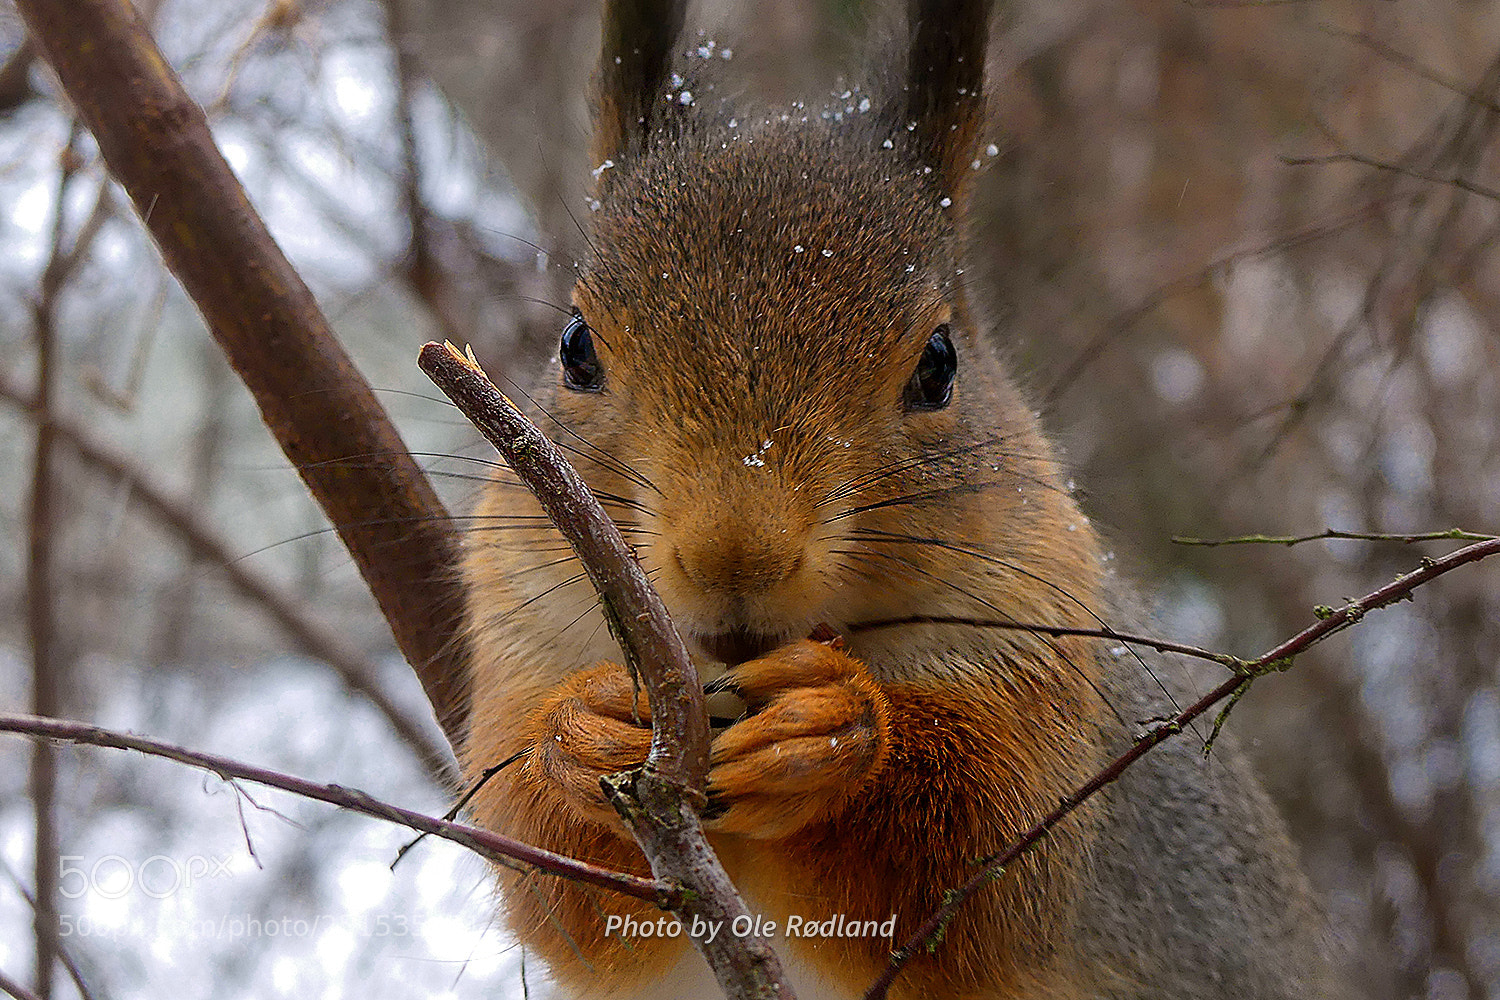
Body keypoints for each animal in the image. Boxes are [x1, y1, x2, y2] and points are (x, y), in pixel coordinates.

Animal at [461, 1, 1338, 997]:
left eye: (939, 366)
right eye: (575, 348)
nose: (736, 558)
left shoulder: (1044, 681)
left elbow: (978, 865)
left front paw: (835, 732)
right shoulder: (518, 636)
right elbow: (557, 888)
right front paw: (579, 735)